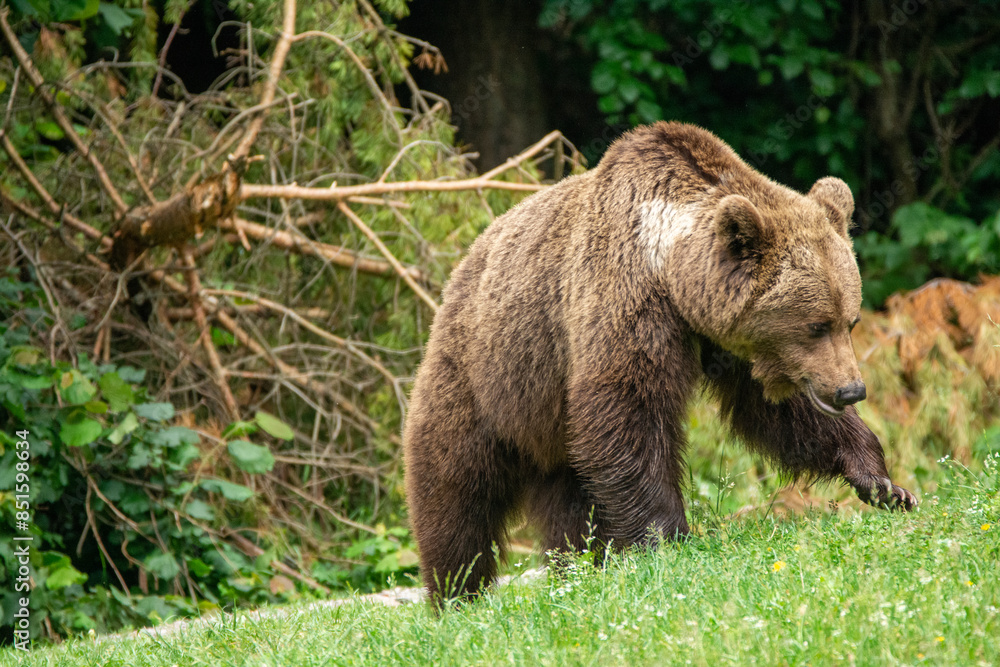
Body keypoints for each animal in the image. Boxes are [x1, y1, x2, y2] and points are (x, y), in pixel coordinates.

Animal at [402, 120, 916, 604]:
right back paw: (457, 592)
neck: (671, 270)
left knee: (567, 503)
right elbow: (627, 412)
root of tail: (462, 267)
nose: (851, 390)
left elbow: (780, 411)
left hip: (549, 428)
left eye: (849, 320)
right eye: (816, 325)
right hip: (484, 376)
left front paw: (884, 483)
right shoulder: (624, 301)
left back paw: (581, 568)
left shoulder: (734, 345)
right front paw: (667, 538)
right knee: (455, 493)